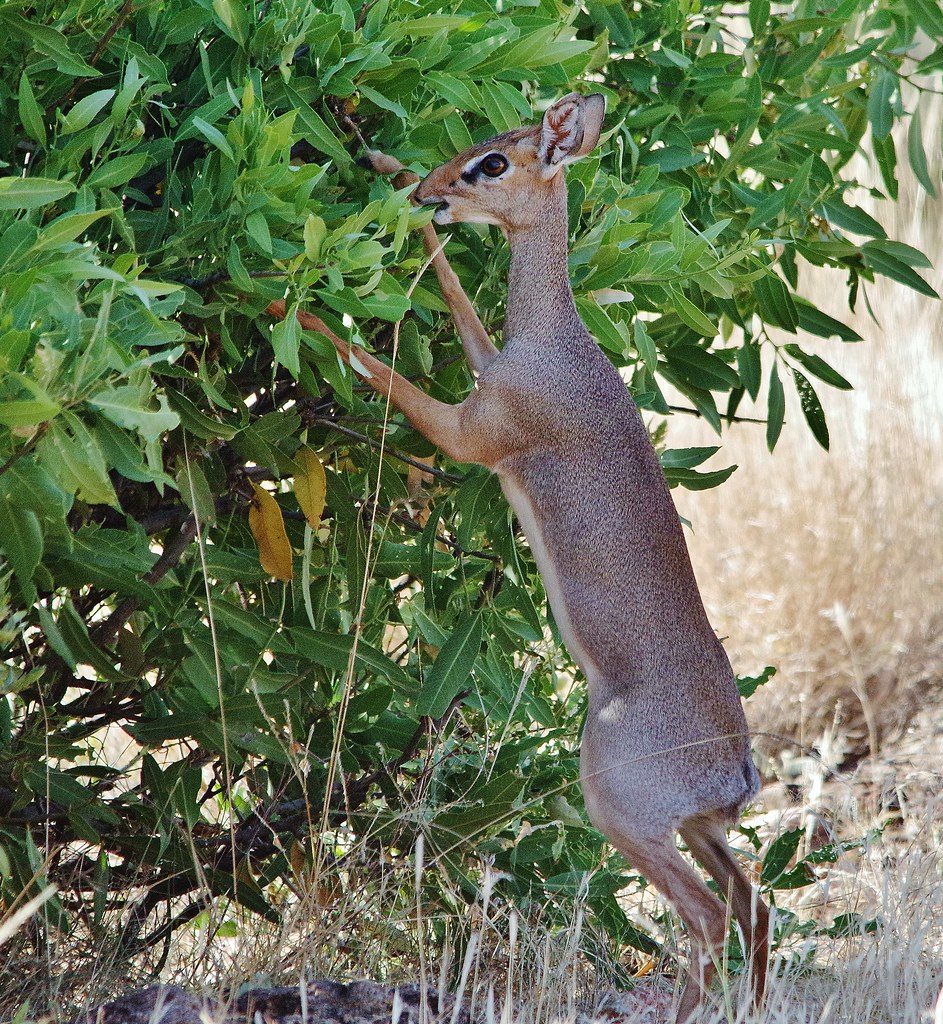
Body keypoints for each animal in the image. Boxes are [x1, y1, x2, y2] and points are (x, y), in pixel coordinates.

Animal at [268, 92, 769, 1019]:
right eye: (475, 145)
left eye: (493, 164)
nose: (430, 188)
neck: (552, 342)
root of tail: (736, 771)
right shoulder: (482, 366)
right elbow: (455, 296)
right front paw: (384, 171)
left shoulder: (469, 434)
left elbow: (380, 370)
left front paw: (298, 309)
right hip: (694, 829)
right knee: (755, 906)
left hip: (619, 812)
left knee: (709, 918)